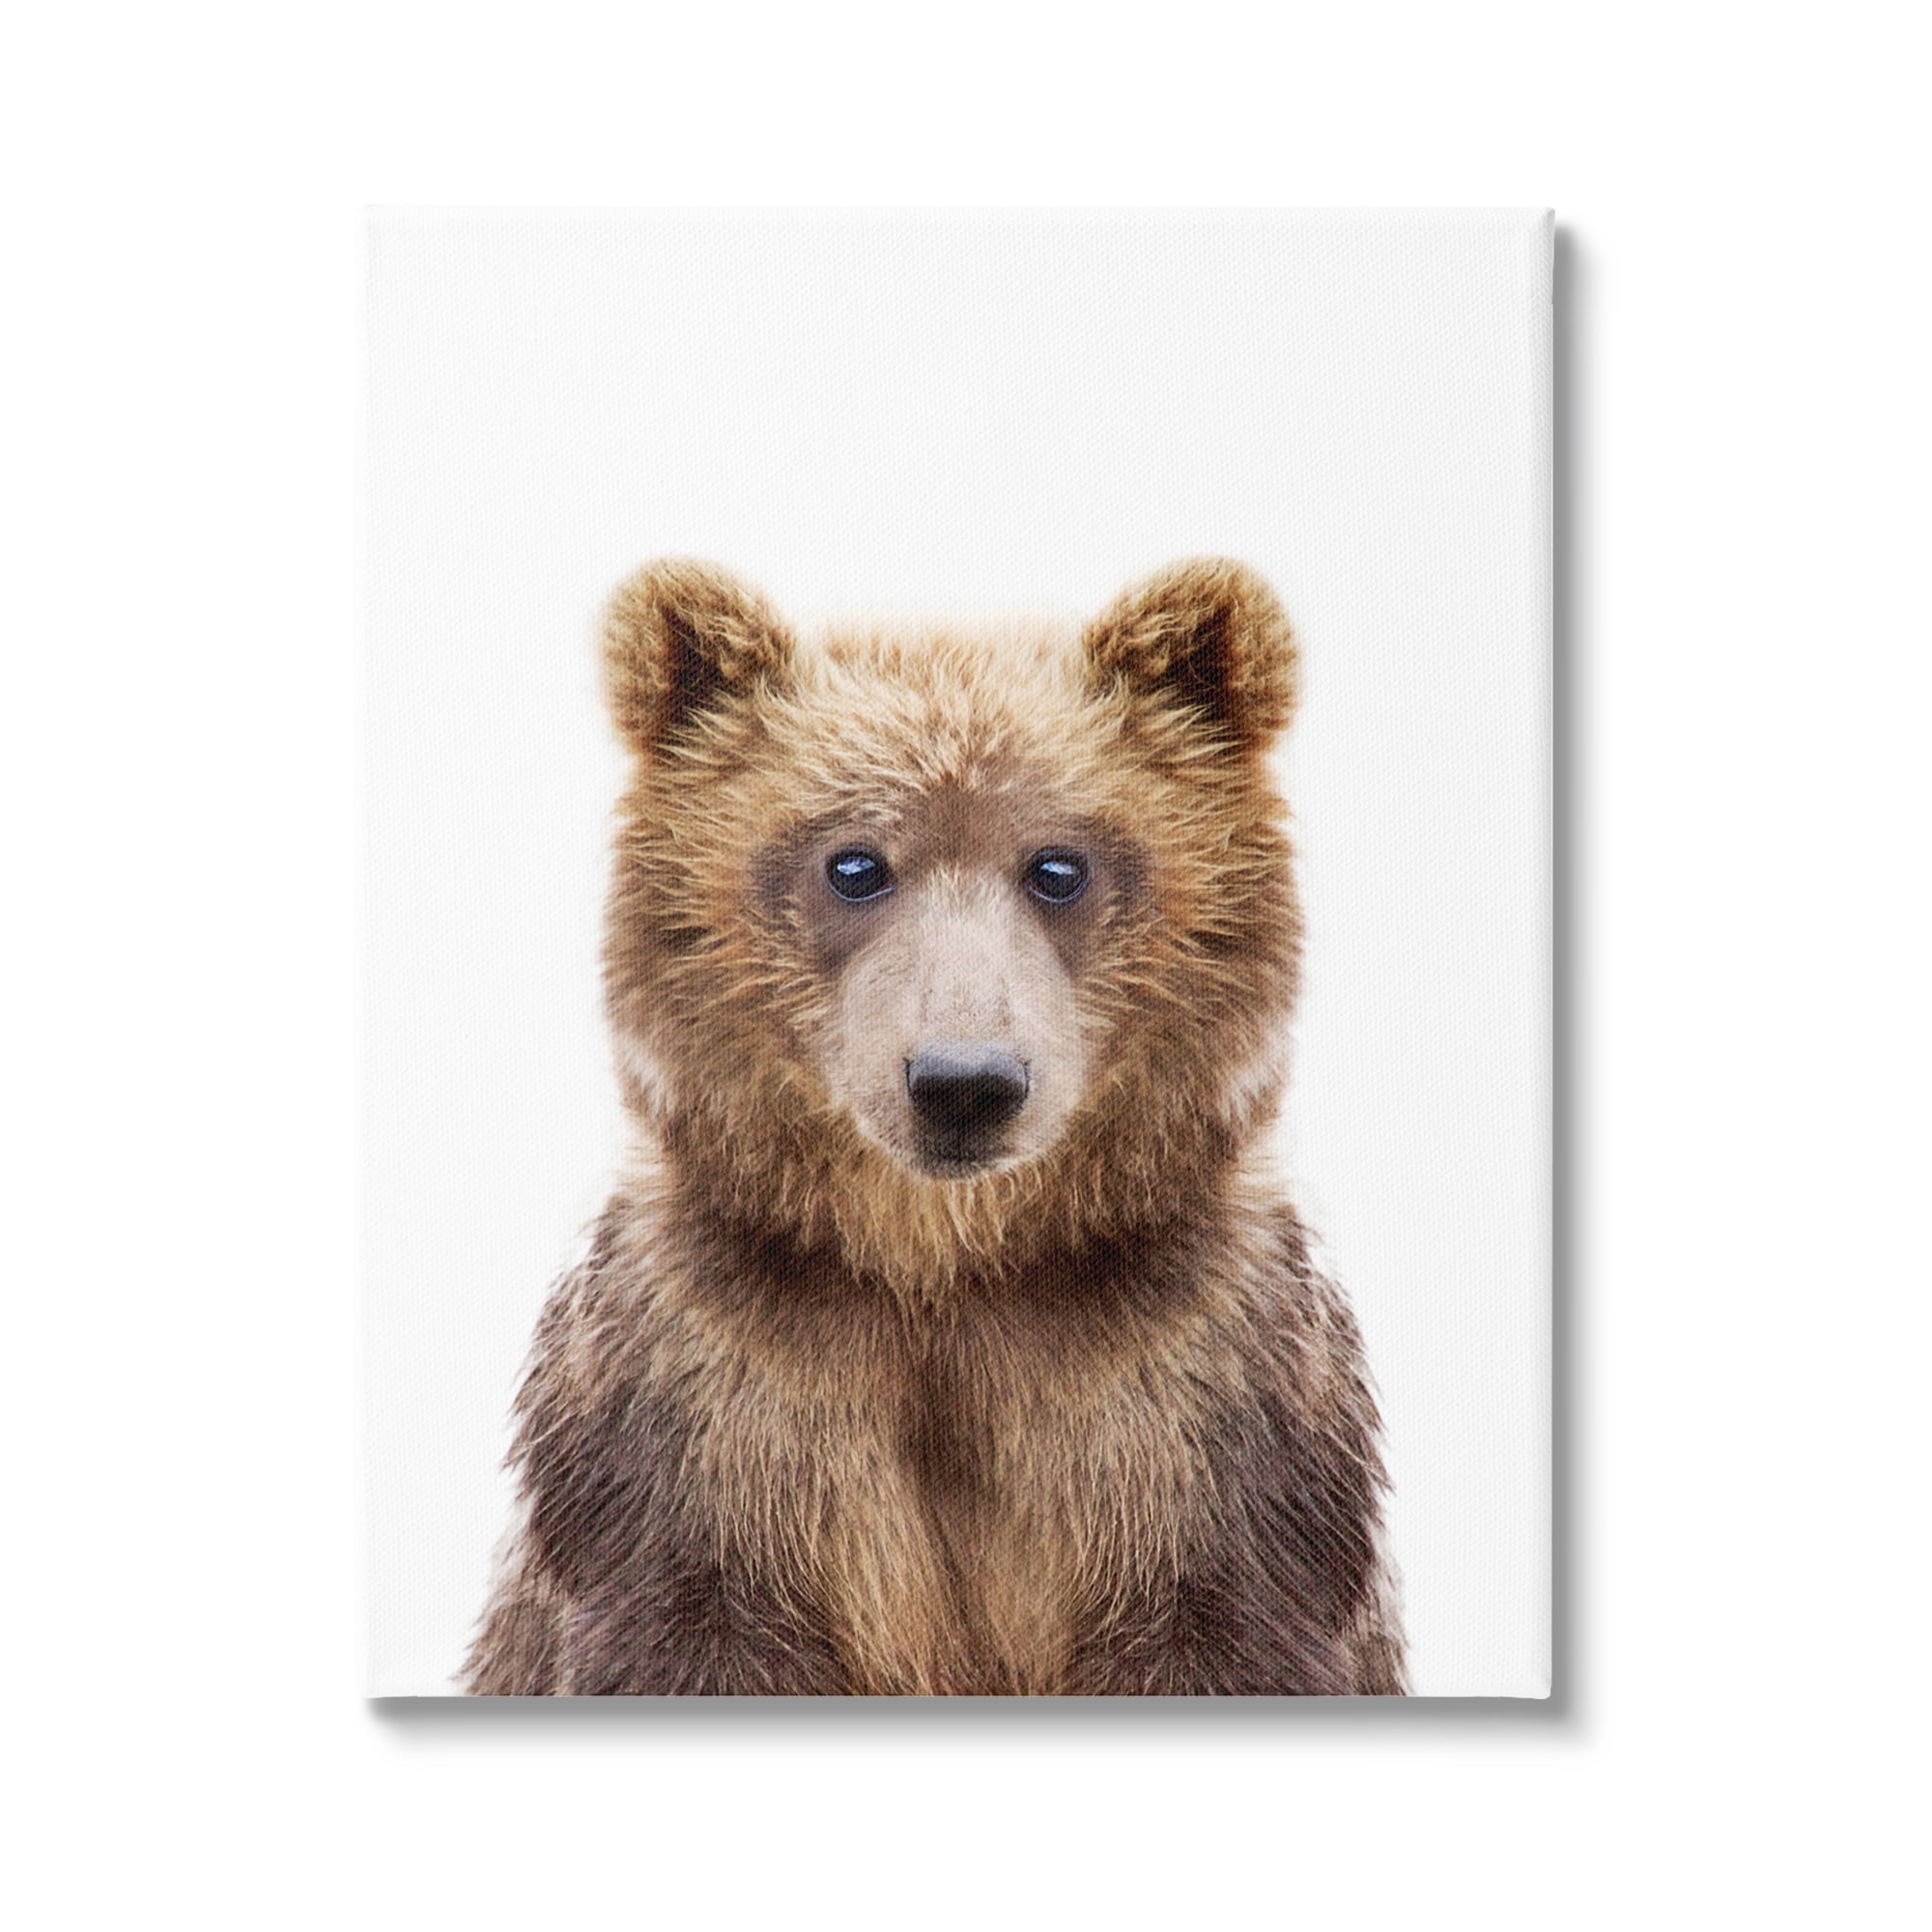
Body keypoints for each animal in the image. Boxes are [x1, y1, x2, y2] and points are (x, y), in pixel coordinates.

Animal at [462, 558, 1405, 1696]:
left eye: (1057, 865)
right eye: (854, 863)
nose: (963, 1082)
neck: (945, 1268)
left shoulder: (1200, 1408)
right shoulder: (702, 1407)